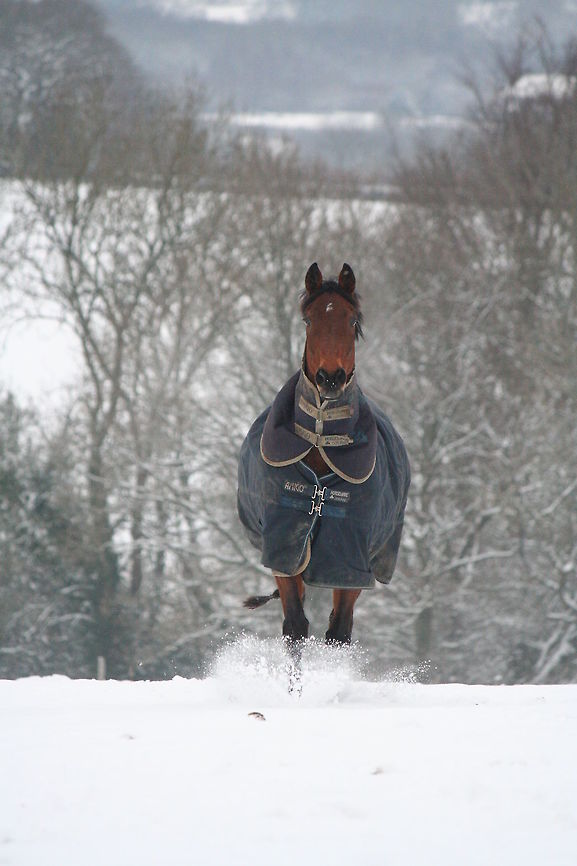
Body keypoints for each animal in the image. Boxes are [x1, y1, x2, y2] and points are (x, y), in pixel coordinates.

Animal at [237, 262, 410, 655]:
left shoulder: (348, 563)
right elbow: (296, 627)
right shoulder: (285, 552)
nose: (330, 377)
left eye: (351, 320)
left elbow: (339, 633)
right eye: (309, 320)